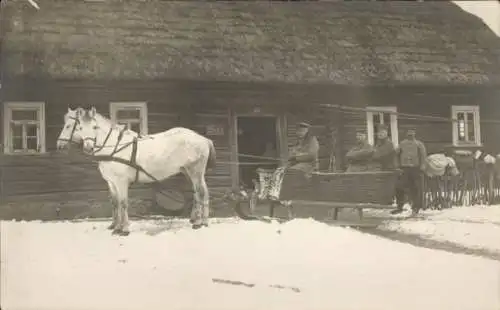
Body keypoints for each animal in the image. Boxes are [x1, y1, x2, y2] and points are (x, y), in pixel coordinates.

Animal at [57, 106, 217, 235]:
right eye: (80, 128)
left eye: (69, 126)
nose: (59, 145)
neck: (113, 146)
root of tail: (202, 138)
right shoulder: (111, 183)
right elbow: (115, 203)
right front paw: (115, 226)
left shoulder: (121, 182)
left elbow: (123, 203)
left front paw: (124, 229)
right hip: (189, 172)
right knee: (199, 192)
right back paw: (198, 220)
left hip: (195, 171)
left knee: (201, 192)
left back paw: (199, 223)